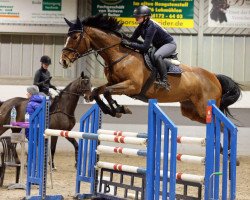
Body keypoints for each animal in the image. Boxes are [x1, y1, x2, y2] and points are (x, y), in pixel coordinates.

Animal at [59, 14, 241, 124]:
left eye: (75, 37)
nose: (63, 61)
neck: (119, 55)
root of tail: (214, 77)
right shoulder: (115, 83)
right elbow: (99, 91)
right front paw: (116, 110)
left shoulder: (132, 86)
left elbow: (107, 92)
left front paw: (119, 108)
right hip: (191, 110)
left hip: (205, 108)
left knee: (221, 125)